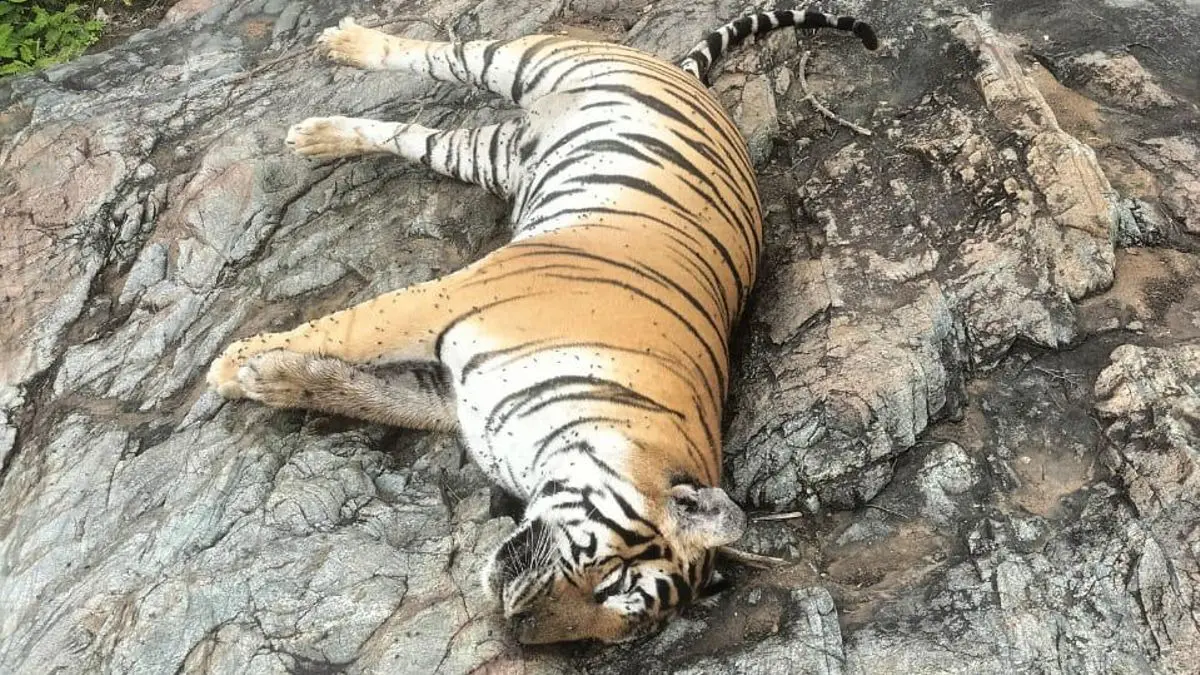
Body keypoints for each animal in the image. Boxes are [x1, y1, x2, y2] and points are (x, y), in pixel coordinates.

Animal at [206, 8, 878, 644]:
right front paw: (230, 365)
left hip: (487, 156)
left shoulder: (451, 398)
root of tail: (689, 78)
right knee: (437, 54)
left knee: (412, 135)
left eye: (616, 621)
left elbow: (364, 393)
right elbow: (348, 330)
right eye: (614, 581)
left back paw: (318, 136)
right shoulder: (445, 302)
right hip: (528, 61)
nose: (517, 626)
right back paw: (346, 45)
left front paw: (271, 379)